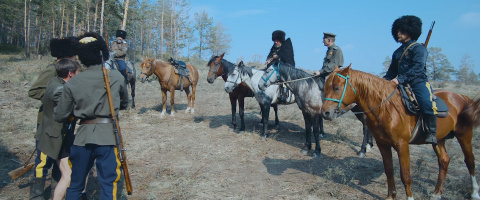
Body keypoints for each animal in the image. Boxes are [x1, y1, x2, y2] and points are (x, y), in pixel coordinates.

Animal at [320, 65, 480, 198]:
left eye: (336, 87)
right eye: (326, 87)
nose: (325, 113)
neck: (387, 109)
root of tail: (461, 97)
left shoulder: (402, 145)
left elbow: (405, 176)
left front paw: (410, 197)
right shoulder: (383, 144)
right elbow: (389, 171)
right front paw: (391, 196)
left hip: (464, 135)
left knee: (470, 161)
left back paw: (474, 193)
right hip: (439, 139)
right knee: (444, 161)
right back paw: (436, 193)